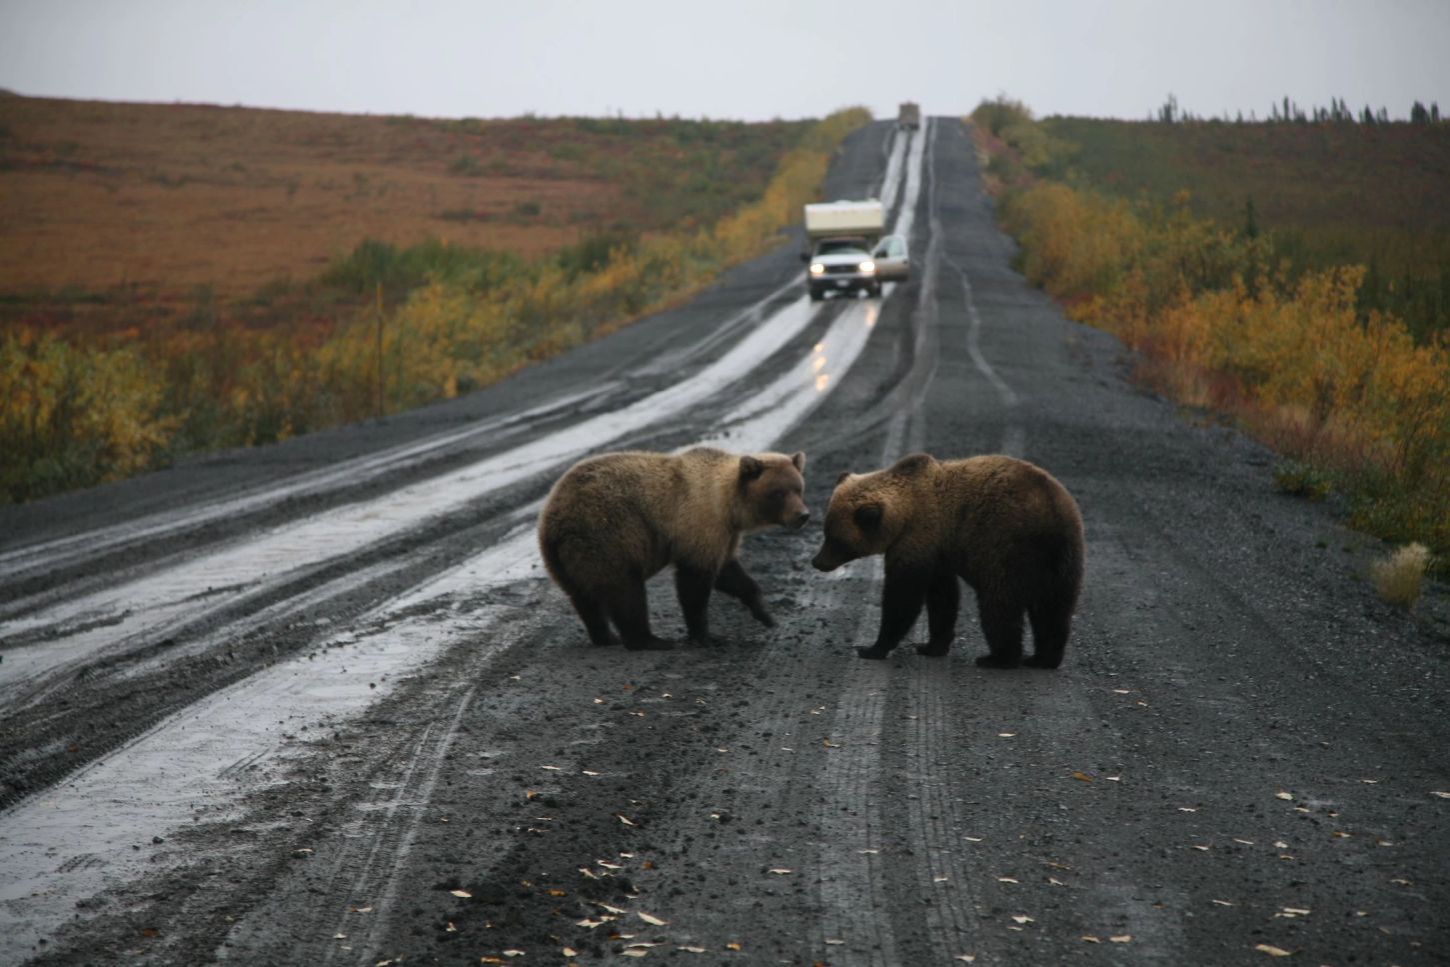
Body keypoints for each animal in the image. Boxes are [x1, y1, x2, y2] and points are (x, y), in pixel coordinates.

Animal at [539, 449, 812, 649]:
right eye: (778, 492)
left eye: (798, 488)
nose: (803, 515)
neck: (728, 506)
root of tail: (554, 519)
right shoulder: (699, 524)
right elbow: (694, 584)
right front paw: (705, 635)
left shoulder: (723, 536)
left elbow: (730, 574)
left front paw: (764, 613)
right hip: (608, 536)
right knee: (626, 592)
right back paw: (649, 640)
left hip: (563, 559)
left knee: (583, 598)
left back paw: (605, 636)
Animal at [812, 452, 1084, 666]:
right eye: (826, 531)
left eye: (836, 539)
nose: (818, 562)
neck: (904, 514)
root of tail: (1052, 517)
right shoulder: (938, 550)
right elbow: (943, 597)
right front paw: (931, 645)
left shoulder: (918, 538)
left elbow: (903, 597)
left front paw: (873, 647)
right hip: (1064, 562)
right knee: (1053, 610)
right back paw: (1044, 658)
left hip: (1008, 550)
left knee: (999, 604)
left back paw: (998, 658)